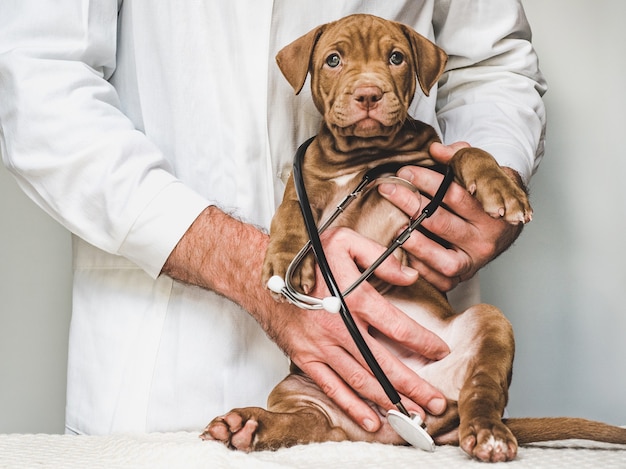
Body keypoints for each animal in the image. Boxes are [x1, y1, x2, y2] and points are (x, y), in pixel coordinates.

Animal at [201, 13, 624, 460]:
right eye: (334, 59)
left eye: (396, 57)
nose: (368, 93)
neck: (363, 155)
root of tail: (395, 427)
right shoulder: (308, 186)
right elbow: (290, 209)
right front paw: (282, 261)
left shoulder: (434, 168)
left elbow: (465, 151)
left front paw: (501, 187)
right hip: (301, 384)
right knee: (314, 422)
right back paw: (250, 425)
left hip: (490, 327)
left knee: (482, 390)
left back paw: (488, 434)